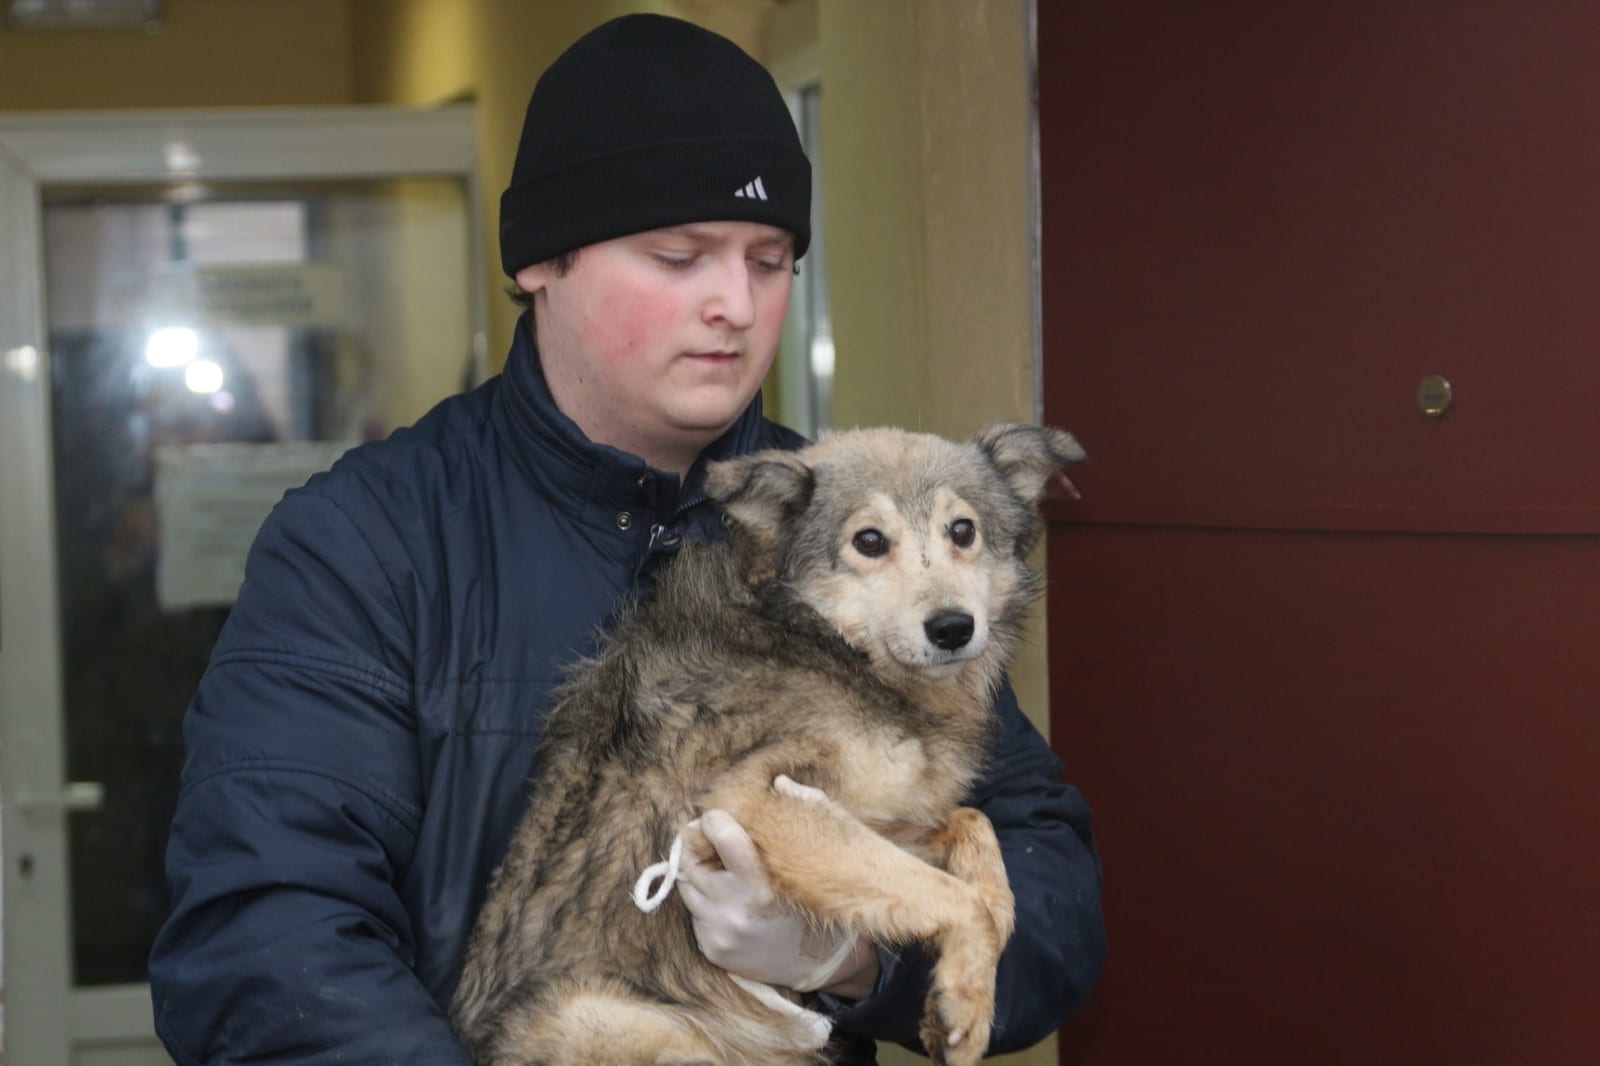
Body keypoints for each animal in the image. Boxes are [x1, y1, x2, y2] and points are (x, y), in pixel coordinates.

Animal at [451, 419, 1088, 1056]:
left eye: (963, 531)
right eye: (869, 541)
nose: (953, 628)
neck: (818, 634)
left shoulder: (877, 820)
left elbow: (979, 843)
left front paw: (970, 986)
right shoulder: (751, 799)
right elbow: (962, 900)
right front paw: (964, 996)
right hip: (615, 1022)